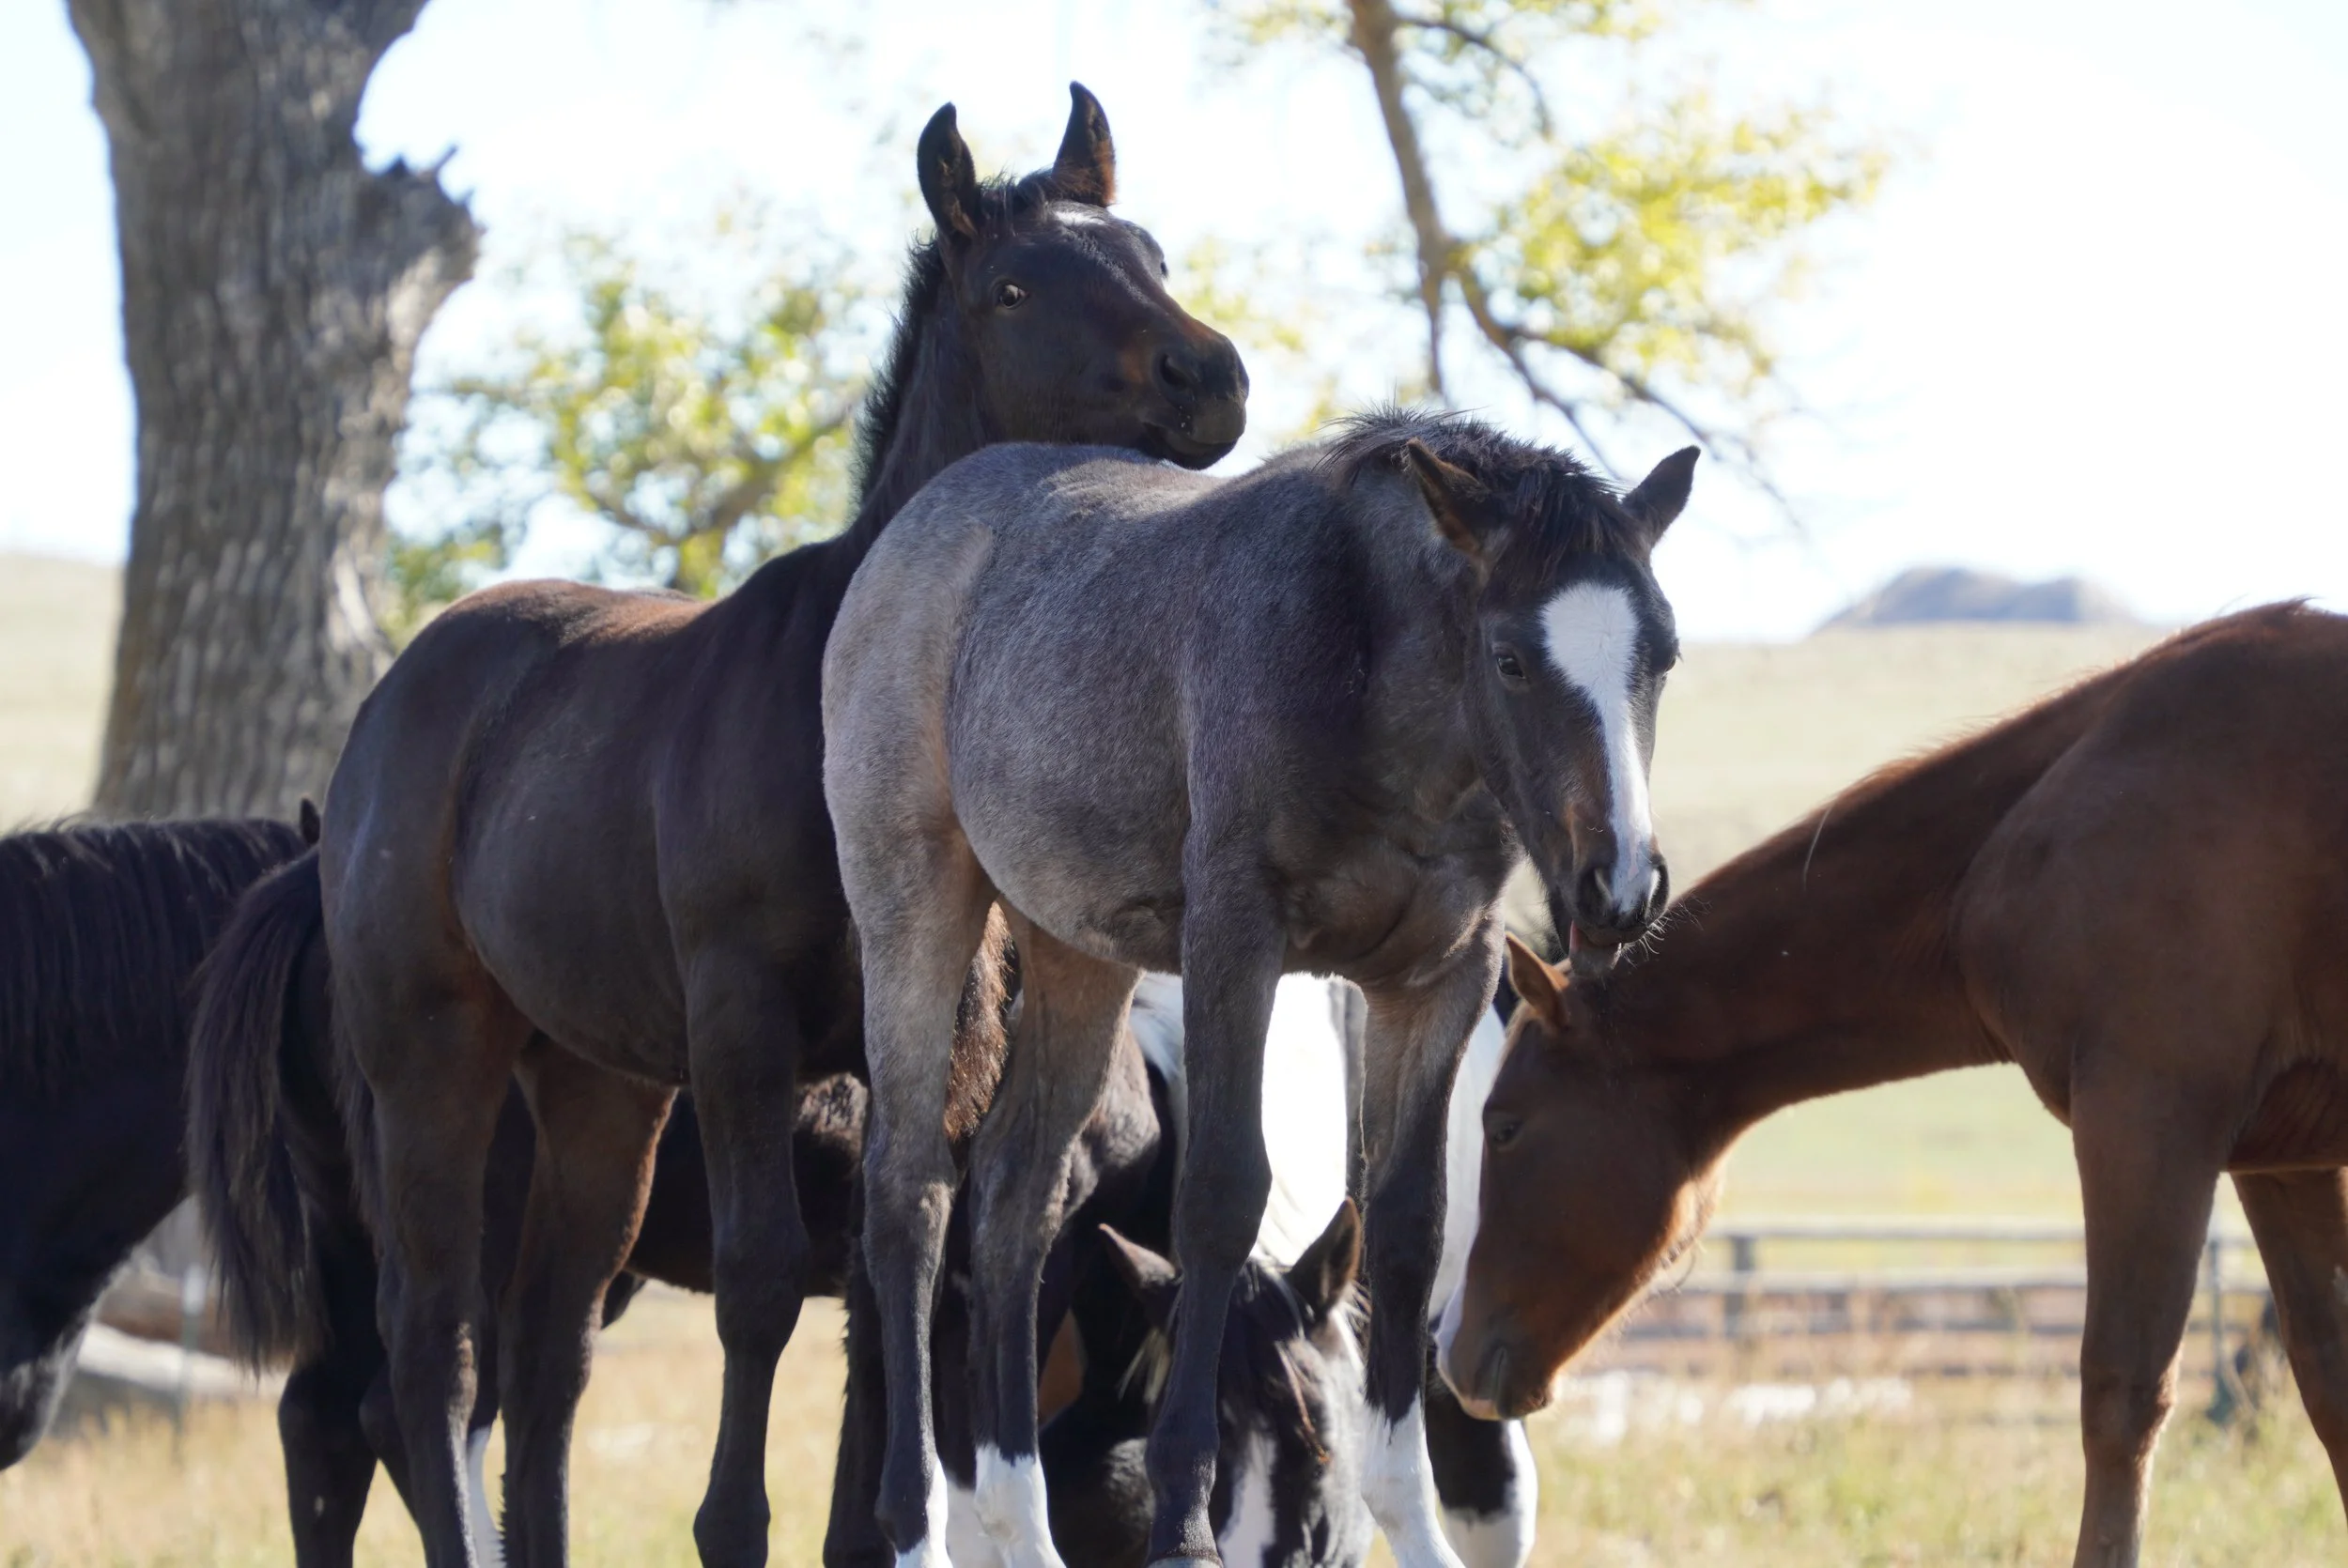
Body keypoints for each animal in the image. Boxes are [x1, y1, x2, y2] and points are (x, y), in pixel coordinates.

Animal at [302, 83, 1248, 1568]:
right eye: (1014, 286)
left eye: (1150, 250)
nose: (1210, 377)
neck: (849, 695)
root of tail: (401, 691)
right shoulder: (742, 1028)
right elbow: (759, 1285)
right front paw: (730, 1521)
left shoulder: (930, 1050)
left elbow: (886, 1284)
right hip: (432, 1060)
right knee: (430, 1343)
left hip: (601, 1088)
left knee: (547, 1347)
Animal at [823, 408, 1691, 1566]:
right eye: (1509, 658)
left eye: (1663, 655)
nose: (1621, 887)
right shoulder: (1236, 942)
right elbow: (1221, 1198)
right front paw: (1184, 1519)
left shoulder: (1436, 977)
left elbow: (1406, 1225)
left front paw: (1411, 1516)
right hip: (914, 899)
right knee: (910, 1194)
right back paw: (915, 1525)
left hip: (1076, 950)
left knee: (1013, 1194)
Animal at [1438, 601, 2348, 1568]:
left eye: (1504, 1125)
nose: (1450, 1352)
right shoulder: (2282, 1161)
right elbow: (2330, 1384)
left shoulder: (2147, 1123)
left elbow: (2121, 1394)